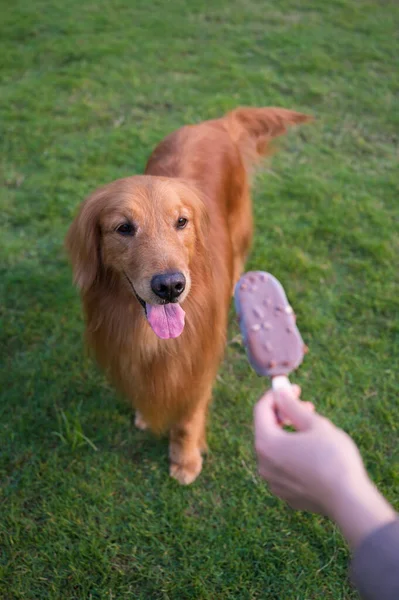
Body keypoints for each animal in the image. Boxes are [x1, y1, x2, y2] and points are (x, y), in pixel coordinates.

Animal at [65, 106, 310, 482]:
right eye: (124, 228)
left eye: (181, 222)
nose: (170, 286)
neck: (151, 337)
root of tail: (216, 123)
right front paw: (146, 415)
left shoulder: (199, 357)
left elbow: (188, 415)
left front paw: (185, 459)